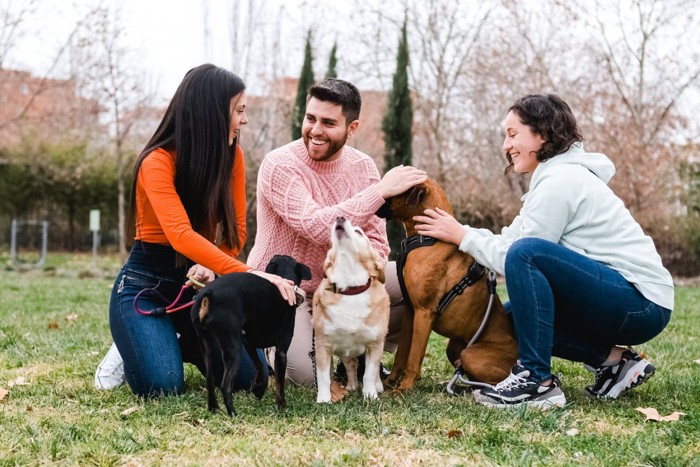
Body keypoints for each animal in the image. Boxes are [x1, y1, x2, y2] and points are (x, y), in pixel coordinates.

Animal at [191, 256, 312, 416]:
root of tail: (208, 295)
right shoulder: (281, 351)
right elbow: (279, 383)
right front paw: (282, 406)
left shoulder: (249, 343)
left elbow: (260, 366)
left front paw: (258, 390)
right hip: (233, 349)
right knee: (225, 385)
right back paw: (233, 414)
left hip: (206, 345)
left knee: (210, 378)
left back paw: (214, 408)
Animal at [310, 216, 388, 402]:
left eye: (359, 232)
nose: (339, 217)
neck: (351, 288)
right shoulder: (322, 345)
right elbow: (323, 376)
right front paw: (323, 399)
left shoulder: (375, 344)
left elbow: (369, 374)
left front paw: (370, 395)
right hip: (343, 351)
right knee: (351, 364)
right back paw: (352, 385)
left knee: (371, 370)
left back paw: (377, 386)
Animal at [374, 179, 516, 394]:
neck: (429, 239)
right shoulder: (410, 312)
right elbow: (402, 354)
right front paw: (390, 382)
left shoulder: (424, 313)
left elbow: (414, 357)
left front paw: (405, 388)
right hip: (454, 347)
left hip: (469, 355)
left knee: (492, 381)